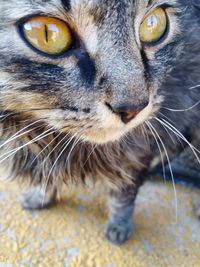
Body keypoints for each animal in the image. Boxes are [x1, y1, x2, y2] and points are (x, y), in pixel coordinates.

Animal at [0, 0, 200, 245]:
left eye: (154, 23)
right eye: (46, 33)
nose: (133, 108)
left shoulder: (138, 152)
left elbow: (123, 196)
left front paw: (119, 226)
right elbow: (48, 173)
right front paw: (41, 196)